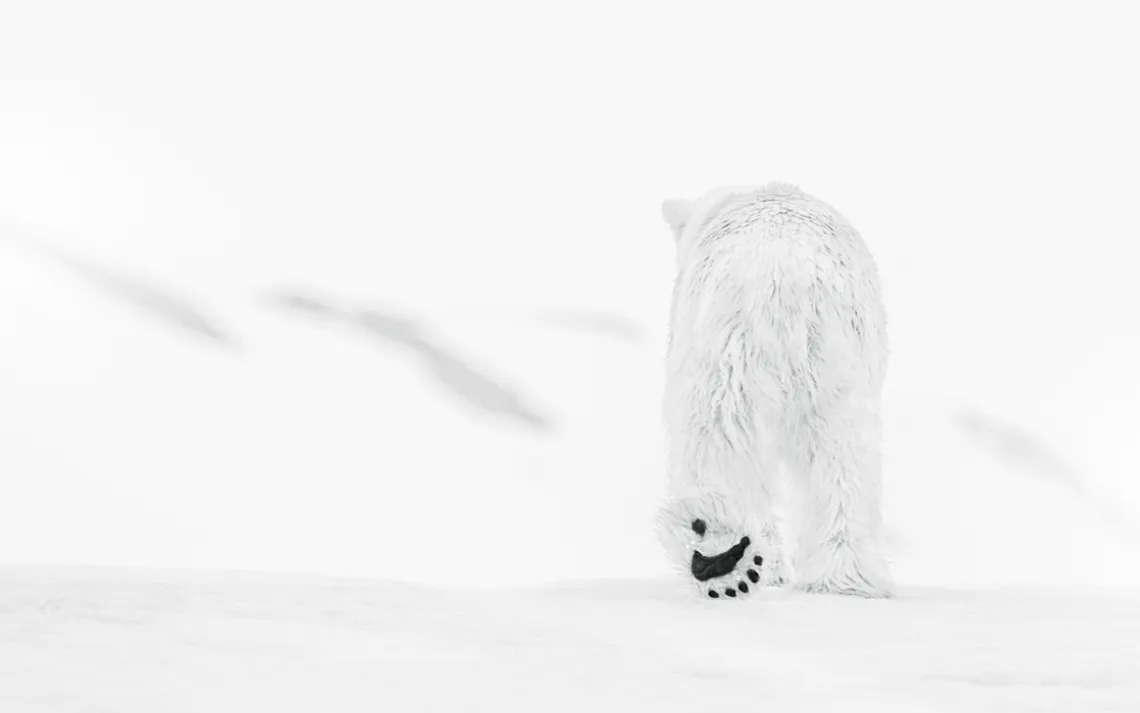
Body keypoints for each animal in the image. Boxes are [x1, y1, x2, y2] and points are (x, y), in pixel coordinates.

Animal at [655, 182, 894, 600]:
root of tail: (781, 276)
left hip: (725, 340)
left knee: (715, 435)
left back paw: (720, 557)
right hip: (837, 355)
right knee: (845, 454)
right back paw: (842, 578)